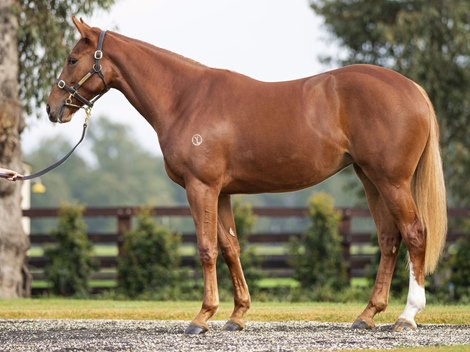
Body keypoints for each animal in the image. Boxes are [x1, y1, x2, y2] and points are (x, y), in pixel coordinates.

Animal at [46, 17, 446, 336]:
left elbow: (206, 249)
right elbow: (230, 247)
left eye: (72, 59)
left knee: (414, 234)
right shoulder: (221, 192)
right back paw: (367, 315)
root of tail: (413, 89)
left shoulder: (201, 188)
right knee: (389, 239)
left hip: (391, 181)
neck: (185, 99)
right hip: (370, 179)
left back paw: (406, 316)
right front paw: (237, 315)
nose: (52, 108)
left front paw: (202, 317)